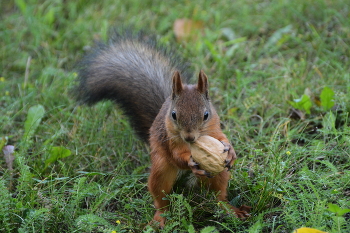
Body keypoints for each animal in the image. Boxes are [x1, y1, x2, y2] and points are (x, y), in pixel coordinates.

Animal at [74, 28, 250, 227]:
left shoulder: (214, 128)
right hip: (160, 168)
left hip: (219, 173)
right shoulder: (169, 139)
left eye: (206, 114)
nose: (189, 137)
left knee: (218, 195)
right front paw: (190, 160)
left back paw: (230, 210)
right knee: (160, 196)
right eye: (174, 115)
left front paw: (231, 150)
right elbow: (177, 155)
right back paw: (160, 218)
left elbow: (221, 138)